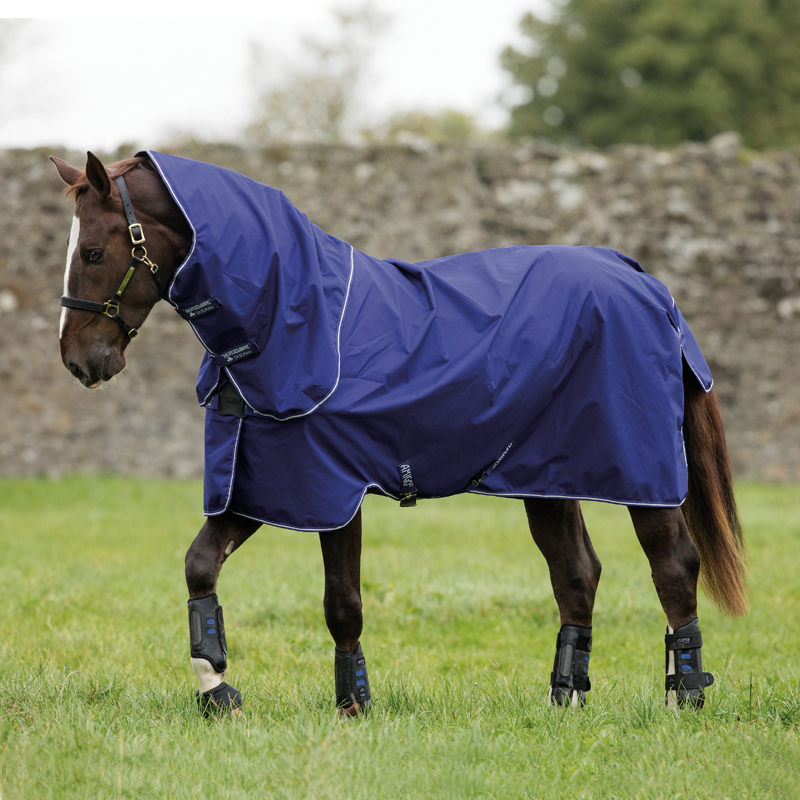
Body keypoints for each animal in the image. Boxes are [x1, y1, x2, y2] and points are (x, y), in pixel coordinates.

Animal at [51, 150, 747, 716]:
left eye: (94, 252)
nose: (80, 362)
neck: (294, 324)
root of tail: (644, 279)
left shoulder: (330, 489)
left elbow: (341, 602)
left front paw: (353, 706)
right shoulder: (261, 483)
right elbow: (199, 567)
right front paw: (217, 690)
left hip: (641, 471)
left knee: (673, 566)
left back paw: (684, 697)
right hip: (548, 475)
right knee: (577, 574)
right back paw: (564, 700)